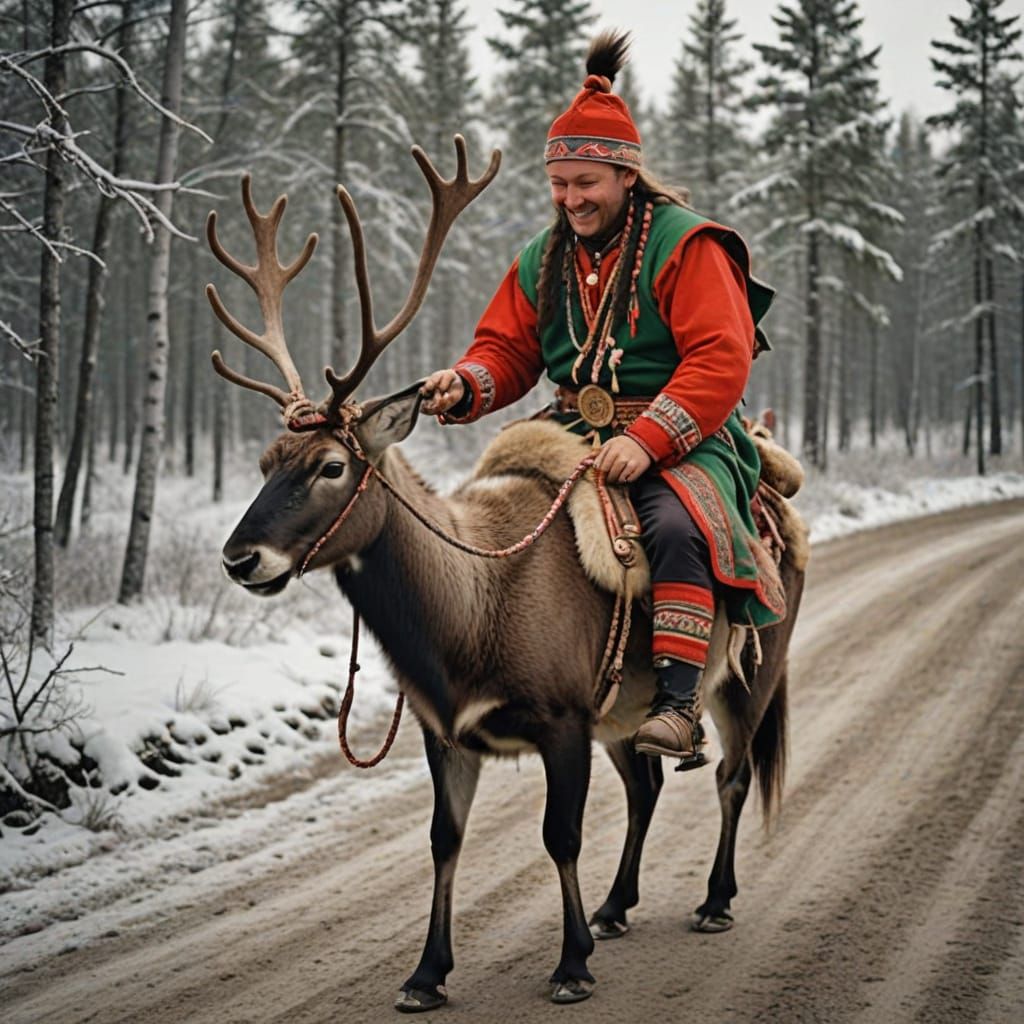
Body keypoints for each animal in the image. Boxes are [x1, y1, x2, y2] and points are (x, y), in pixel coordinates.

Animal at [206, 136, 808, 1013]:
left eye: (329, 465)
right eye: (263, 462)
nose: (239, 557)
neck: (463, 627)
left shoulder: (562, 715)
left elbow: (560, 836)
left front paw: (570, 964)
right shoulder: (447, 729)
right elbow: (443, 841)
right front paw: (427, 973)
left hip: (753, 666)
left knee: (732, 774)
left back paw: (714, 899)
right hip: (625, 709)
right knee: (648, 787)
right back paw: (618, 905)